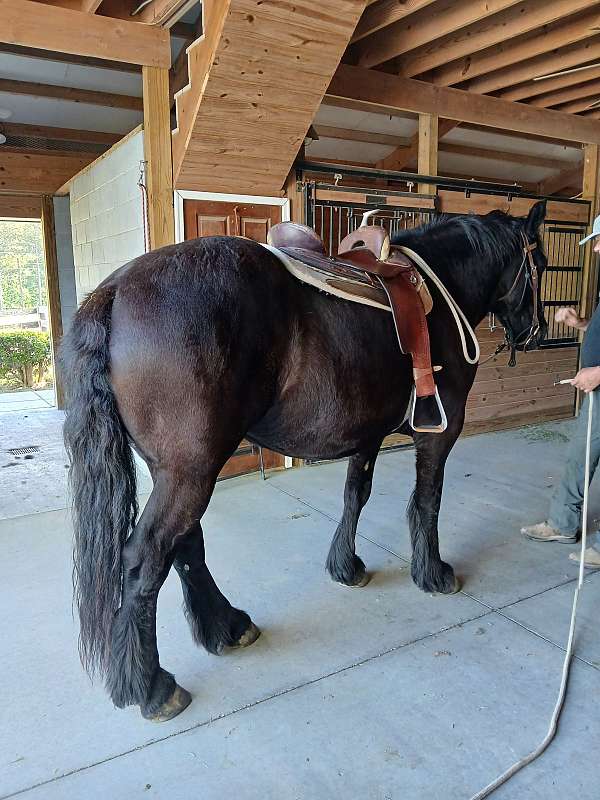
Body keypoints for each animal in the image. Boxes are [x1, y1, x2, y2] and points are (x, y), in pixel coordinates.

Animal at [61, 200, 548, 721]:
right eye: (540, 265)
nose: (535, 332)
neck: (439, 289)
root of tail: (115, 289)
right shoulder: (439, 433)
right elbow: (427, 501)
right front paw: (433, 573)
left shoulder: (368, 435)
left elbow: (356, 495)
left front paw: (345, 567)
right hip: (190, 473)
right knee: (147, 556)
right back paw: (154, 686)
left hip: (178, 471)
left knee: (185, 545)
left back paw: (226, 627)